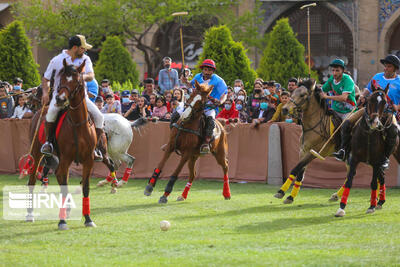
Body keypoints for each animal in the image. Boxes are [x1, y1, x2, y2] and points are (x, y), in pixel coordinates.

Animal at [26, 58, 108, 230]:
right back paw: (30, 214)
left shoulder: (88, 160)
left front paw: (88, 218)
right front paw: (62, 221)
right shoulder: (64, 159)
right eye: (62, 78)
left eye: (77, 81)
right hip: (36, 153)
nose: (60, 99)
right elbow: (63, 187)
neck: (77, 124)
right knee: (32, 180)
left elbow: (85, 187)